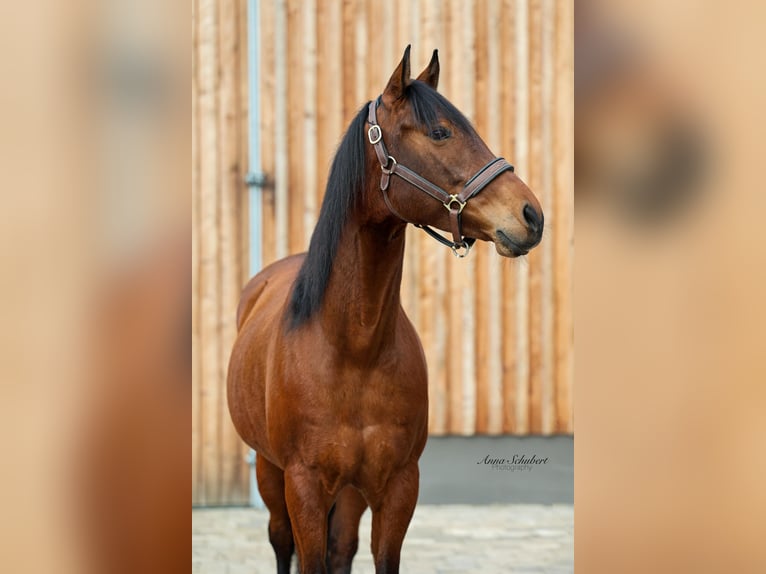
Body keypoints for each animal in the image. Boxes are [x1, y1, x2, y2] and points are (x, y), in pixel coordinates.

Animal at [227, 46, 543, 574]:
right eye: (440, 132)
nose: (531, 216)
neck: (355, 348)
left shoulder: (397, 486)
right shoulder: (303, 486)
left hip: (352, 491)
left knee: (341, 549)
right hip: (270, 474)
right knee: (280, 541)